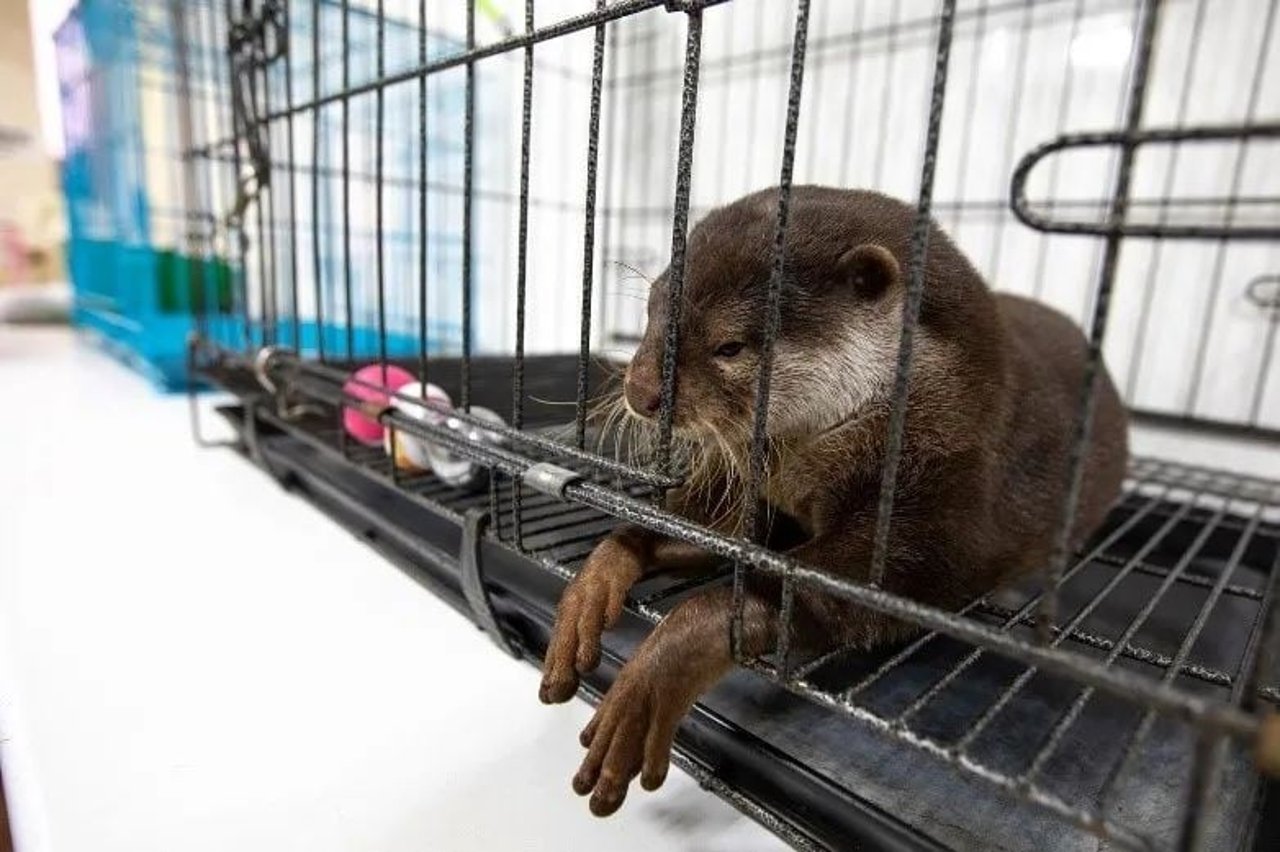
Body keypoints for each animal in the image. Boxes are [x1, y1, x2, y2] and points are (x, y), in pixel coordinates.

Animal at [535, 188, 1126, 818]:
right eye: (651, 313)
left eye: (729, 346)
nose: (640, 392)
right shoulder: (753, 486)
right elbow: (690, 530)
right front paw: (594, 583)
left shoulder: (949, 491)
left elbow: (808, 589)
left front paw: (652, 679)